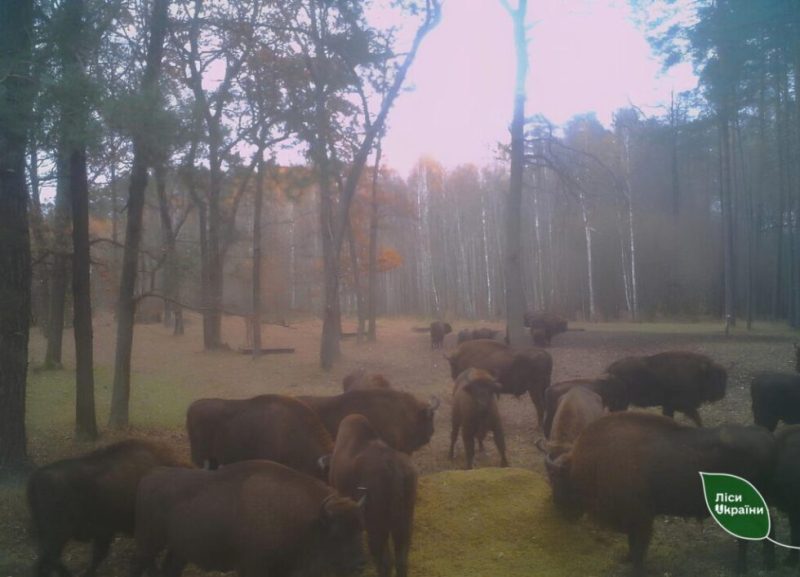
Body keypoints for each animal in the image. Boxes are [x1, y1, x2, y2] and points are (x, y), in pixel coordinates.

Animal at [544, 412, 776, 572]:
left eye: (557, 479)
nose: (558, 508)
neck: (587, 463)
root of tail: (768, 439)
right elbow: (633, 545)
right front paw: (627, 559)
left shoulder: (640, 518)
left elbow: (638, 547)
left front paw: (636, 567)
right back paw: (767, 564)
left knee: (750, 535)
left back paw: (744, 568)